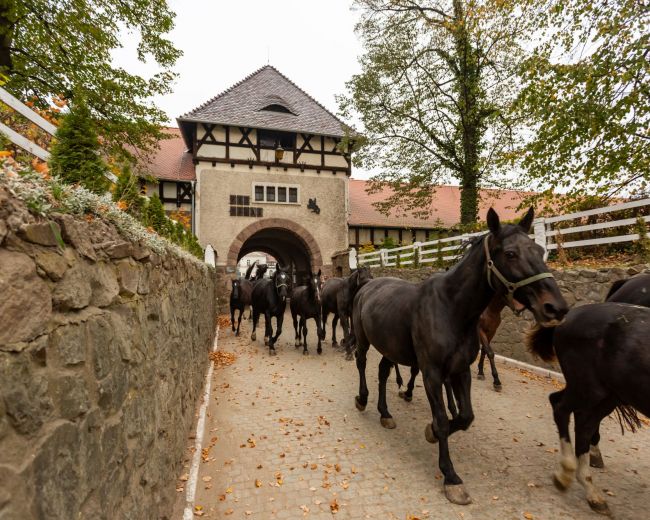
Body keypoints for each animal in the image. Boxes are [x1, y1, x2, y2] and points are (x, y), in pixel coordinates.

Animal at [346, 208, 564, 504]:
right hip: (364, 340)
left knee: (382, 372)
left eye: (540, 250)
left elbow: (465, 416)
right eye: (510, 253)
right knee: (362, 363)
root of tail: (368, 285)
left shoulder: (460, 371)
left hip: (390, 347)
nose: (555, 307)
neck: (451, 309)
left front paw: (432, 433)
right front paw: (450, 475)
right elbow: (441, 418)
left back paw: (385, 413)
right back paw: (362, 399)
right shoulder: (432, 373)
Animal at [528, 302, 648, 512]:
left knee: (583, 424)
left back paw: (591, 490)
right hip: (590, 389)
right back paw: (567, 472)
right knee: (562, 409)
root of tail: (569, 314)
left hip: (608, 395)